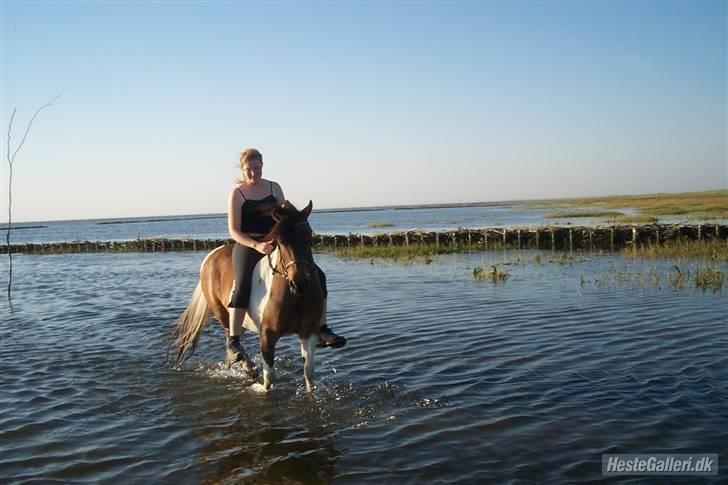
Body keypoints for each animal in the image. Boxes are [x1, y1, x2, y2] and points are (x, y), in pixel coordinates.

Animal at [172, 199, 322, 392]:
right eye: (281, 242)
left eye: (308, 237)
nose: (299, 283)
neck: (295, 298)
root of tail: (212, 254)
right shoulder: (267, 336)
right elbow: (269, 379)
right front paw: (257, 387)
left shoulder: (308, 333)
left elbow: (309, 376)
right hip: (221, 312)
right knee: (231, 338)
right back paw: (248, 367)